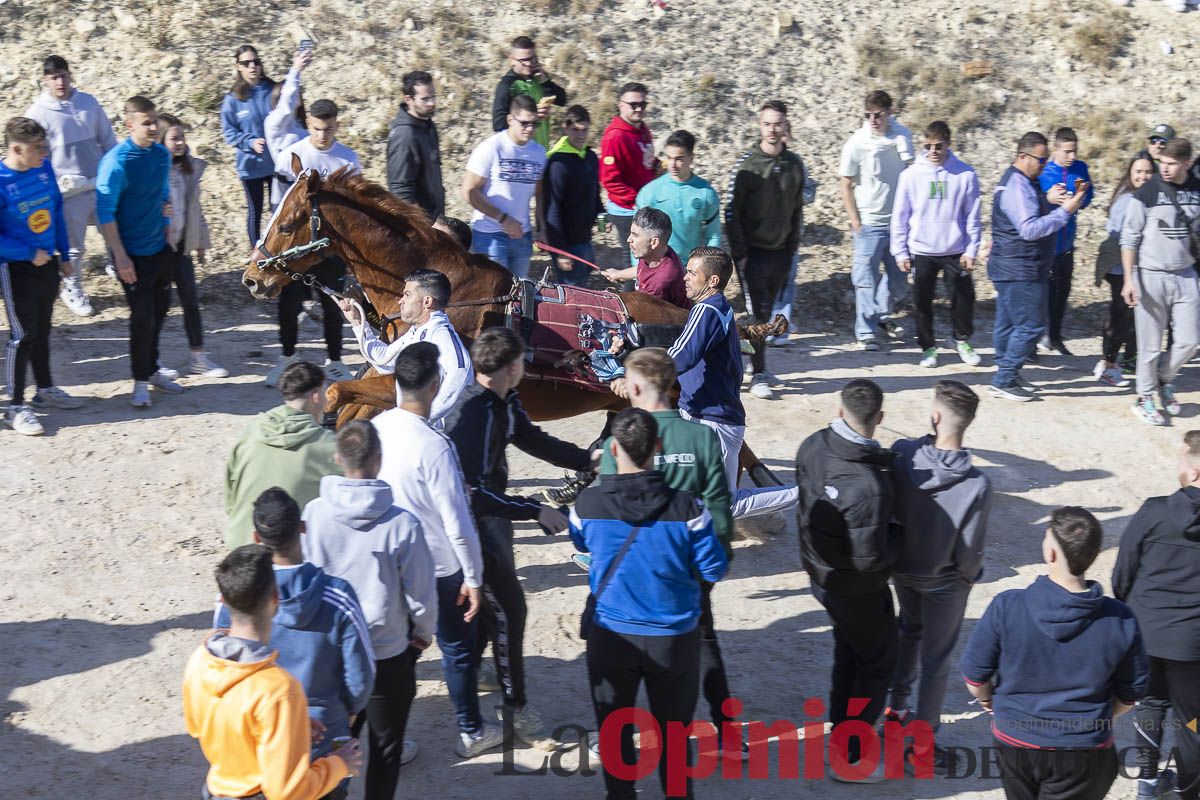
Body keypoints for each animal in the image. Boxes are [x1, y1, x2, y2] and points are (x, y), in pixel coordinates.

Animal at [243, 165, 787, 484]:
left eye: (287, 222)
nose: (253, 277)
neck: (449, 293)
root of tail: (694, 318)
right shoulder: (389, 373)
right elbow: (351, 402)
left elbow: (343, 396)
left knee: (734, 451)